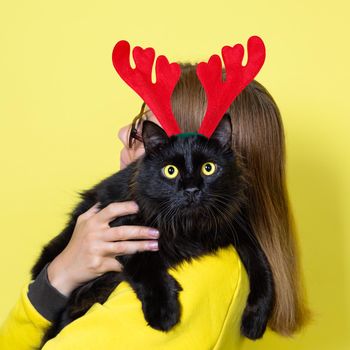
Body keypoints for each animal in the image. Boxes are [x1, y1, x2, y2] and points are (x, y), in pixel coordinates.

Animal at [31, 115, 274, 348]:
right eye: (170, 171)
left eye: (209, 168)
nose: (191, 190)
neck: (189, 227)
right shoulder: (122, 230)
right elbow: (144, 266)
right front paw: (163, 312)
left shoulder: (238, 228)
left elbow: (262, 268)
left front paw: (255, 319)